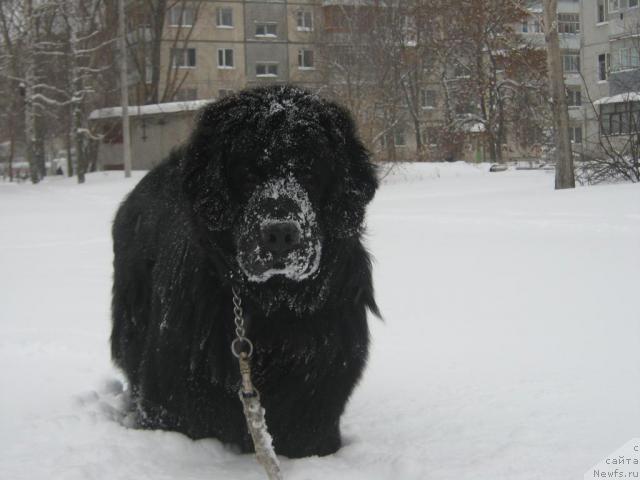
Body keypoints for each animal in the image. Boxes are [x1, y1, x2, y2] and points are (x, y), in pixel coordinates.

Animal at [111, 84, 380, 460]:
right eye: (248, 172)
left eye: (310, 172)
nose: (280, 234)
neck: (273, 307)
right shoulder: (172, 401)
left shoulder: (316, 405)